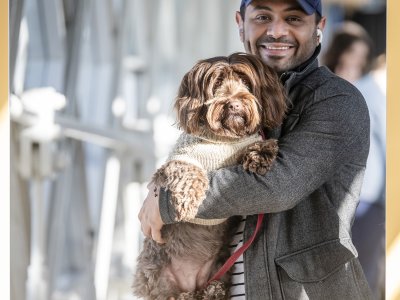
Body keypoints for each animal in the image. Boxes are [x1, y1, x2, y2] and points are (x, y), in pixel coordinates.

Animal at [133, 52, 286, 298]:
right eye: (217, 83)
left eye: (245, 81)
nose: (234, 103)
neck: (224, 140)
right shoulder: (177, 160)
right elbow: (188, 171)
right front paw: (185, 203)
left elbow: (257, 144)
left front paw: (261, 153)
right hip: (157, 278)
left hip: (218, 266)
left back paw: (212, 290)